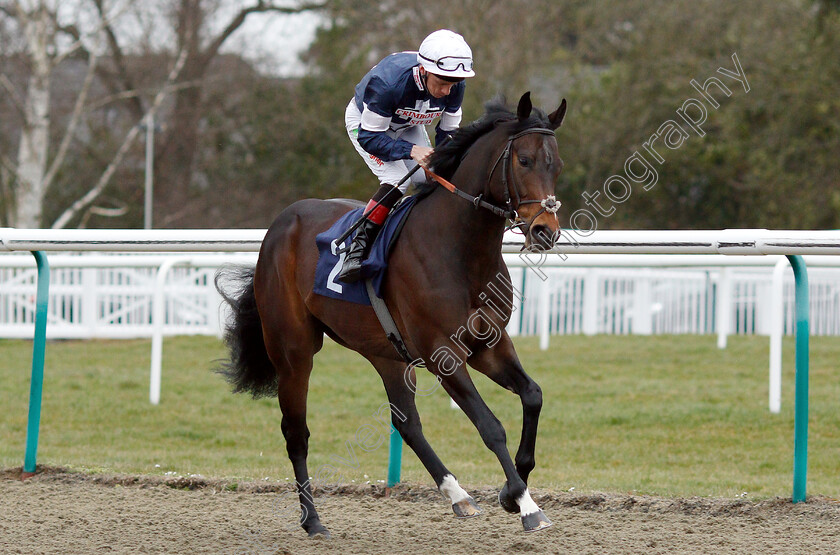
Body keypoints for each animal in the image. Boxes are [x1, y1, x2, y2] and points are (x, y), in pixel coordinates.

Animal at [220, 93, 568, 536]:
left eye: (556, 165)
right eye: (524, 160)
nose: (545, 231)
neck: (460, 250)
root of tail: (280, 224)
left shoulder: (489, 344)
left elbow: (533, 396)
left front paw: (511, 491)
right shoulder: (443, 354)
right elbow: (491, 427)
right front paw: (526, 505)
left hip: (386, 353)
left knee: (407, 423)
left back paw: (458, 496)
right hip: (293, 350)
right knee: (295, 432)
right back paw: (313, 521)